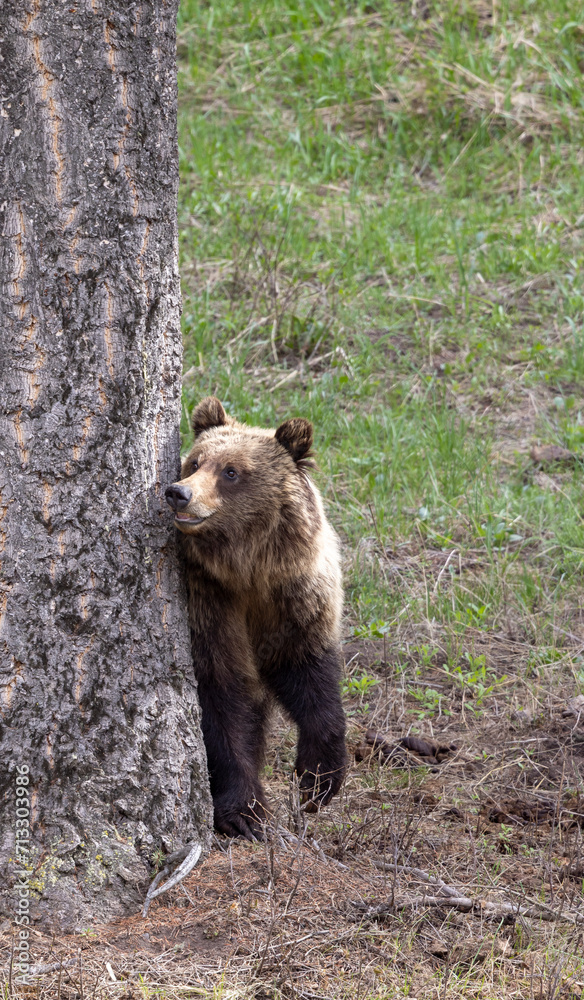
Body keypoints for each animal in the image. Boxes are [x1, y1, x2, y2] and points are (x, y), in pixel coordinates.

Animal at [165, 397, 347, 839]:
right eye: (195, 461)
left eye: (231, 471)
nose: (179, 493)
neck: (247, 572)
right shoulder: (209, 604)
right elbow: (221, 700)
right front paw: (245, 812)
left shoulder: (294, 601)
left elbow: (311, 677)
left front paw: (317, 781)